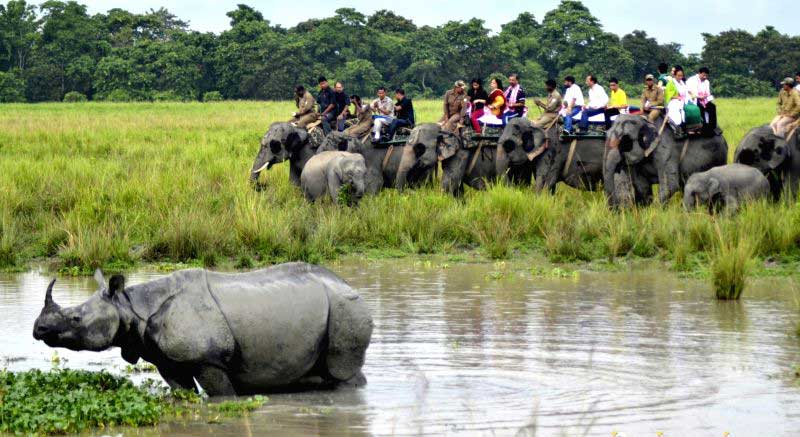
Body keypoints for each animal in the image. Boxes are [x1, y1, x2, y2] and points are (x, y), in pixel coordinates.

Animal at [34, 262, 376, 396]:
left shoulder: (208, 358)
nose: (39, 329)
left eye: (76, 319)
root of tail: (348, 285)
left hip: (345, 307)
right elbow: (182, 390)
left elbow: (222, 395)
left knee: (342, 369)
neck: (130, 305)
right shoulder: (166, 360)